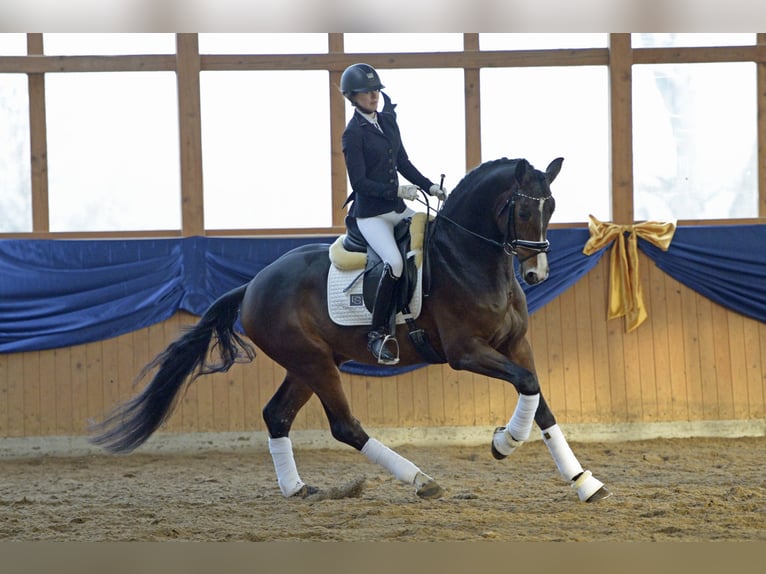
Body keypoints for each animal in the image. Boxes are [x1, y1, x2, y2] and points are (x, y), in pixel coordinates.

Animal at [90, 156, 616, 504]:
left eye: (553, 207)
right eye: (523, 210)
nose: (536, 274)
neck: (470, 258)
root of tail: (254, 283)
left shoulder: (514, 344)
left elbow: (538, 396)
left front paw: (583, 482)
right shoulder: (466, 352)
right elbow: (527, 386)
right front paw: (503, 443)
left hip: (310, 363)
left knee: (277, 415)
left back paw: (297, 489)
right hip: (315, 363)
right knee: (344, 426)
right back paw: (420, 480)